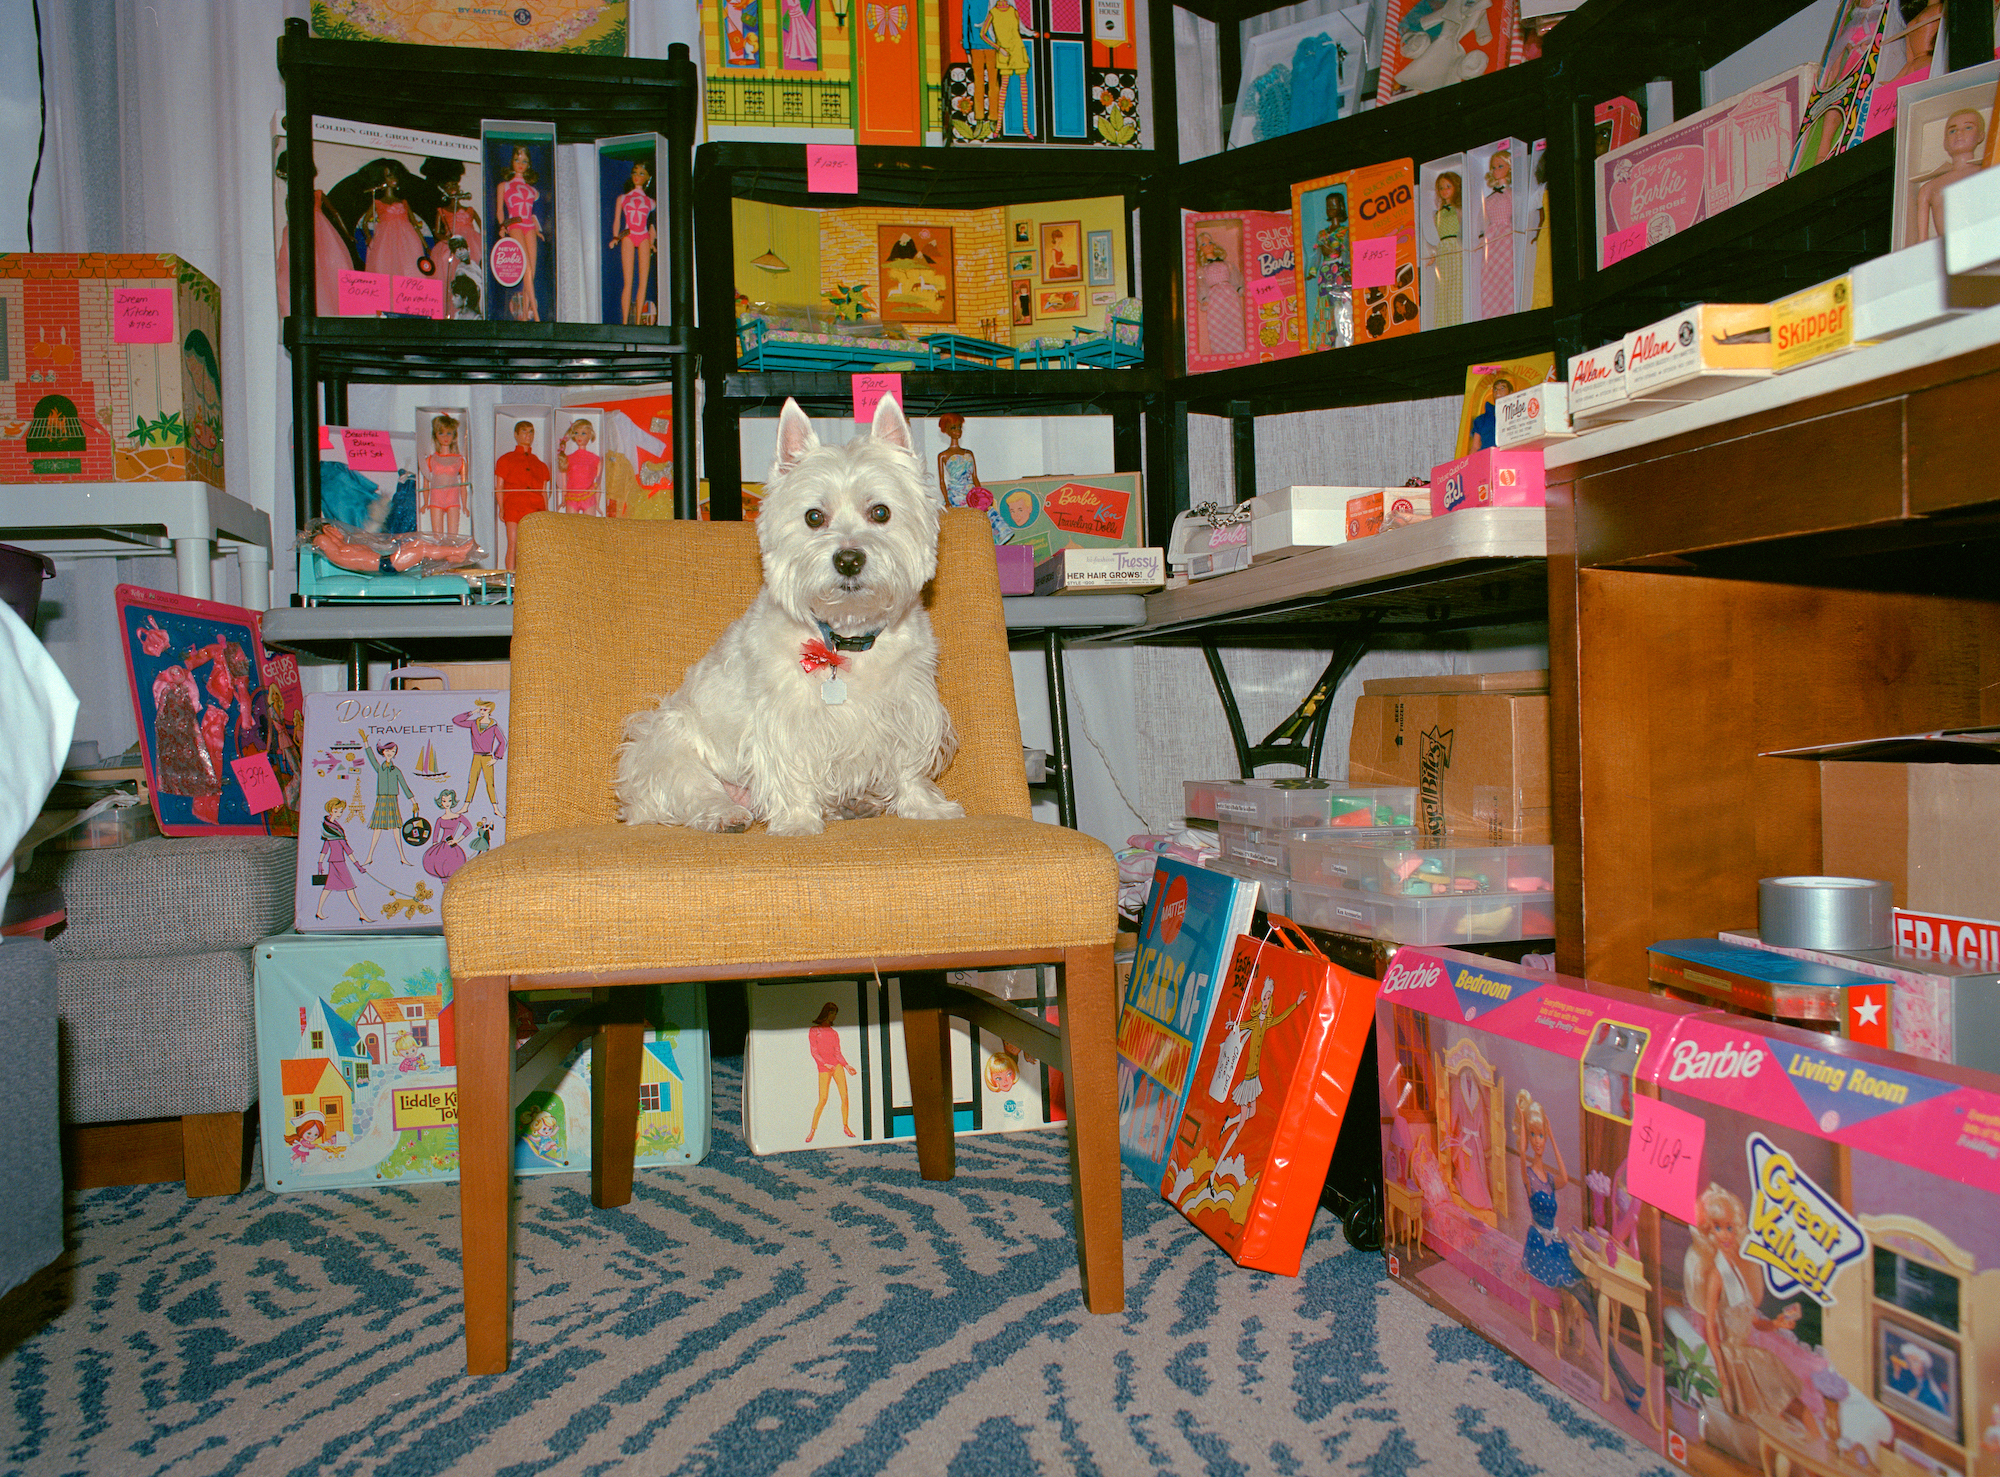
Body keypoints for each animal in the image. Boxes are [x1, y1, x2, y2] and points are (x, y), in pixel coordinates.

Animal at [612, 392, 964, 832]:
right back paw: (727, 814)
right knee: (685, 792)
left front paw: (926, 808)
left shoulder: (908, 703)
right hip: (665, 739)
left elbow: (909, 764)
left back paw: (855, 804)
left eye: (880, 512)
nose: (849, 560)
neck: (846, 639)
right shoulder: (781, 717)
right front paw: (797, 822)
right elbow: (790, 769)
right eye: (814, 517)